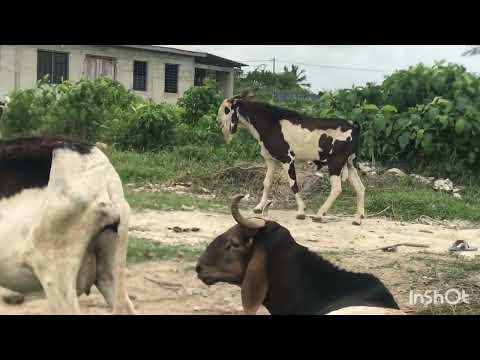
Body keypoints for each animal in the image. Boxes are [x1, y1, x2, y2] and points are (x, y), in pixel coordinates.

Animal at [217, 95, 364, 225]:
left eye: (226, 109)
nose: (218, 123)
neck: (272, 123)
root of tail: (353, 126)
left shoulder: (287, 159)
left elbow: (293, 185)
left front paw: (301, 212)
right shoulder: (271, 161)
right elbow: (267, 183)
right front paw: (259, 207)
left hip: (336, 163)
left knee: (337, 188)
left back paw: (319, 215)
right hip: (350, 163)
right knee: (360, 188)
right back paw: (357, 219)